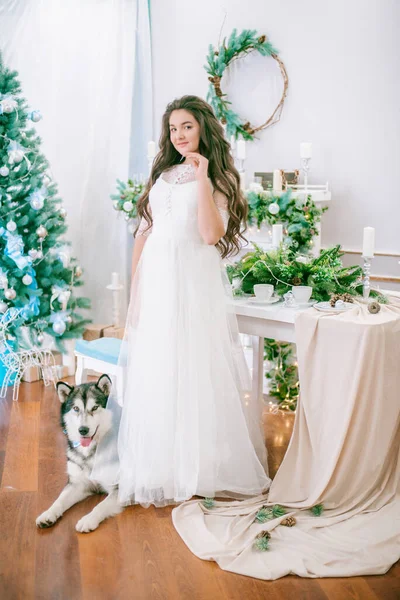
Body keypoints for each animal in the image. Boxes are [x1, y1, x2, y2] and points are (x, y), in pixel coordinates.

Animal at [35, 376, 124, 536]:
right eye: (76, 409)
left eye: (94, 408)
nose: (83, 430)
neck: (91, 453)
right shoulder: (78, 484)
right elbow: (59, 500)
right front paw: (48, 514)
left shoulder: (119, 489)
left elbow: (100, 506)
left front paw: (88, 520)